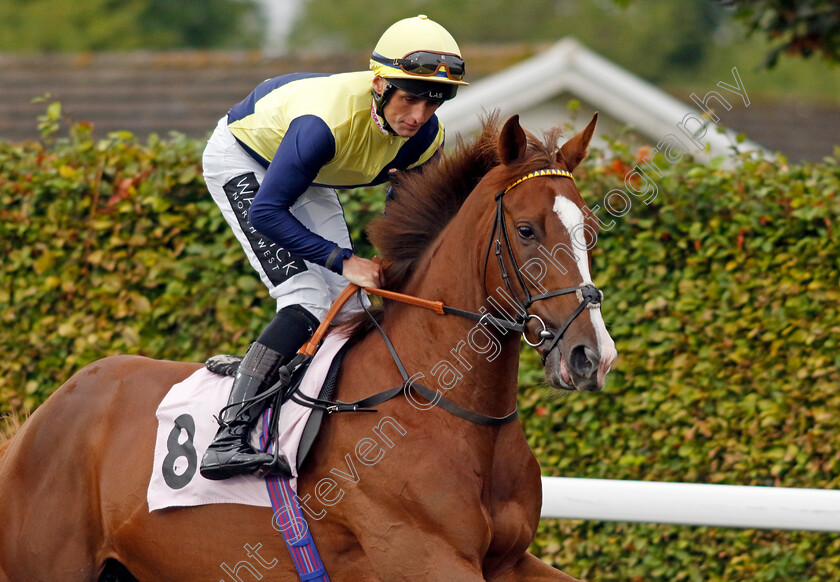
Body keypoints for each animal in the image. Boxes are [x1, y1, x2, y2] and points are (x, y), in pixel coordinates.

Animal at [0, 112, 616, 580]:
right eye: (527, 230)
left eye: (588, 229)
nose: (592, 356)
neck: (443, 407)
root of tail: (40, 420)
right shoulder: (424, 556)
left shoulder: (509, 560)